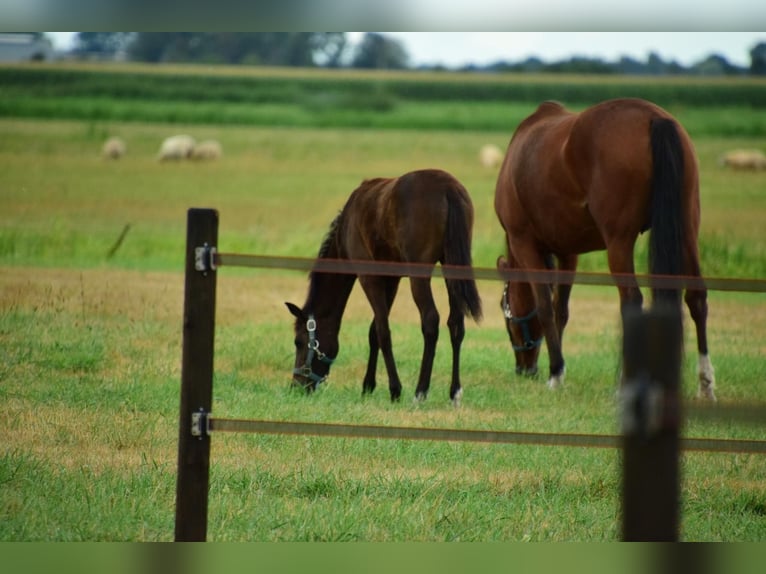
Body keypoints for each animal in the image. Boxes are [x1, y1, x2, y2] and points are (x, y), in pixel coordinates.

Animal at [286, 168, 483, 405]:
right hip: (451, 267)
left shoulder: (369, 277)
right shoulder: (391, 279)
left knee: (430, 320)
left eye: (298, 342)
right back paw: (454, 392)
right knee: (455, 323)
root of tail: (448, 187)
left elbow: (382, 331)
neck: (347, 227)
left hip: (419, 276)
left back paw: (420, 392)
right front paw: (368, 386)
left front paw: (394, 389)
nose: (296, 386)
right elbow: (374, 331)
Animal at [494, 98, 716, 400]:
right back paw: (705, 385)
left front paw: (555, 373)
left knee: (631, 300)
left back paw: (626, 385)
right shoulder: (568, 252)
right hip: (686, 227)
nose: (524, 369)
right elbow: (561, 308)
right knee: (696, 297)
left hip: (619, 242)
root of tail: (654, 119)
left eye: (504, 306)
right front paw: (559, 370)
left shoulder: (523, 242)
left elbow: (545, 307)